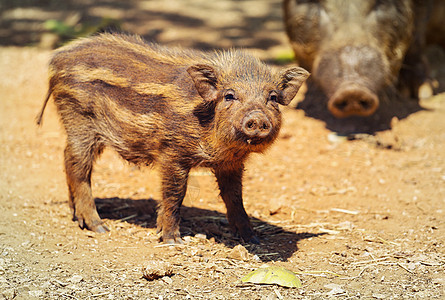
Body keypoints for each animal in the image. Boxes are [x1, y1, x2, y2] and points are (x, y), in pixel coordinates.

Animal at [37, 33, 308, 244]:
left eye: (272, 97)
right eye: (229, 95)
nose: (257, 118)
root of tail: (56, 60)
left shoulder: (231, 164)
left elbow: (235, 197)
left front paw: (252, 239)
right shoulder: (172, 153)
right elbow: (174, 194)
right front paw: (172, 240)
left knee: (67, 159)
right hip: (79, 121)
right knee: (78, 167)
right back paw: (99, 227)